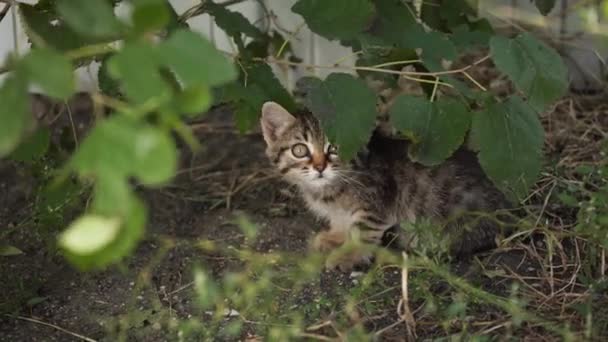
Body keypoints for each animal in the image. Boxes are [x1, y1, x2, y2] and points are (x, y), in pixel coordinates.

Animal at [260, 101, 508, 270]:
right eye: (300, 150)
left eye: (336, 148)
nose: (320, 167)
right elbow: (342, 221)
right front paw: (336, 236)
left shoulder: (379, 201)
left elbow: (362, 231)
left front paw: (349, 255)